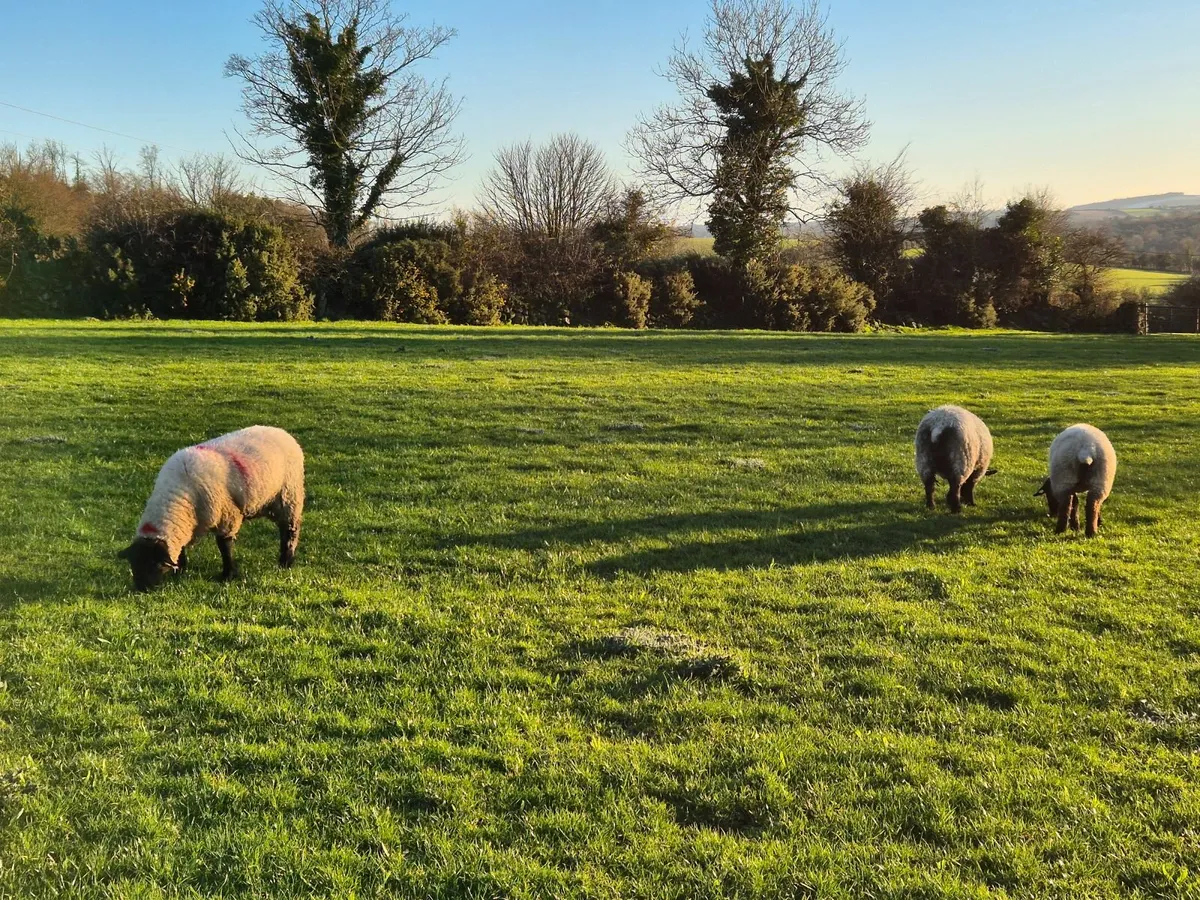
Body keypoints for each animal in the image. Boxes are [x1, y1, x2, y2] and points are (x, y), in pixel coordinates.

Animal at [118, 426, 305, 590]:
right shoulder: (187, 524)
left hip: (289, 497)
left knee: (289, 531)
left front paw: (228, 575)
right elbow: (181, 549)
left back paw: (285, 562)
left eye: (153, 562)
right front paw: (180, 571)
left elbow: (224, 547)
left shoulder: (227, 516)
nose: (143, 589)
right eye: (133, 564)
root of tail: (281, 432)